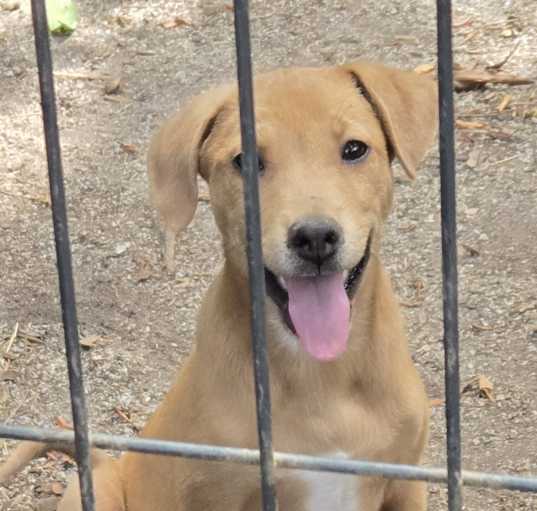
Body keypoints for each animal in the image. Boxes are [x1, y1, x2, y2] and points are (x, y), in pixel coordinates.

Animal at [0, 61, 436, 511]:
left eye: (354, 149)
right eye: (246, 160)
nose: (315, 238)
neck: (318, 374)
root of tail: (105, 462)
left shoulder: (408, 482)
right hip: (99, 494)